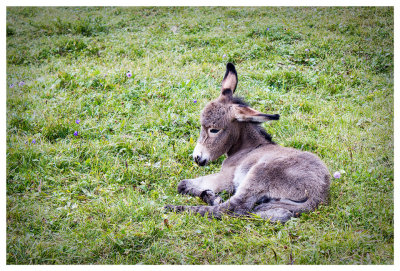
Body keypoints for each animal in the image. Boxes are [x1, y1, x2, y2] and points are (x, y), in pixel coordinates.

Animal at [164, 63, 330, 223]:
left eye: (214, 130)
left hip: (259, 174)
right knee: (276, 213)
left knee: (232, 209)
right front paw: (210, 195)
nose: (197, 158)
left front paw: (211, 197)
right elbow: (183, 185)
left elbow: (182, 184)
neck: (248, 148)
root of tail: (318, 192)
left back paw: (176, 208)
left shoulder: (227, 177)